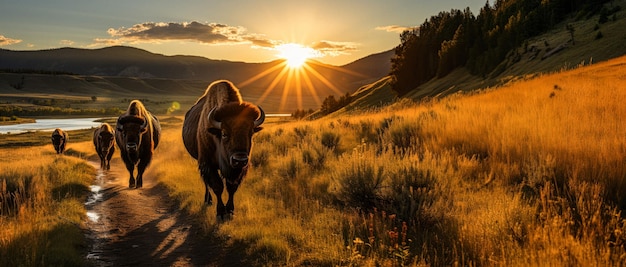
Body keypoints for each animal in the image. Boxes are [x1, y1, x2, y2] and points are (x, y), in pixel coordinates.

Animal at [183, 80, 266, 219]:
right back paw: (208, 200)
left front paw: (230, 211)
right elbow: (217, 187)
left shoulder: (237, 170)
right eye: (224, 133)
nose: (239, 160)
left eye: (251, 133)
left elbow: (231, 187)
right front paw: (221, 213)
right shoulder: (207, 164)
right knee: (206, 183)